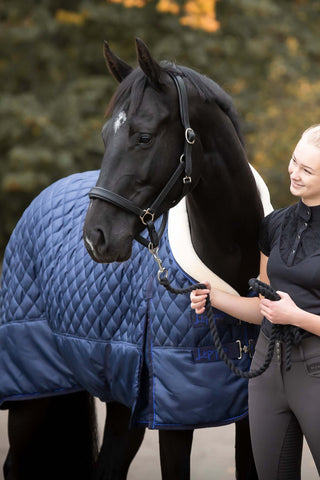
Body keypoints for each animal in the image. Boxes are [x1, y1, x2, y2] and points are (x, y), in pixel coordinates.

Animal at [0, 38, 272, 480]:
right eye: (105, 136)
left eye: (144, 137)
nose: (96, 237)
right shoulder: (174, 417)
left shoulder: (250, 414)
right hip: (30, 390)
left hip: (121, 398)